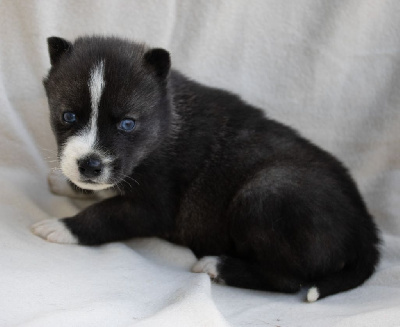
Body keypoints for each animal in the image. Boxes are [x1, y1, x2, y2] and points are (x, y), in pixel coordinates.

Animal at [32, 36, 380, 302]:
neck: (167, 117)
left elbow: (104, 216)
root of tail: (366, 231)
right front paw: (65, 182)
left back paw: (218, 266)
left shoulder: (152, 209)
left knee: (288, 280)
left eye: (128, 124)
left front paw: (60, 227)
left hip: (266, 193)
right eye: (68, 117)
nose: (89, 165)